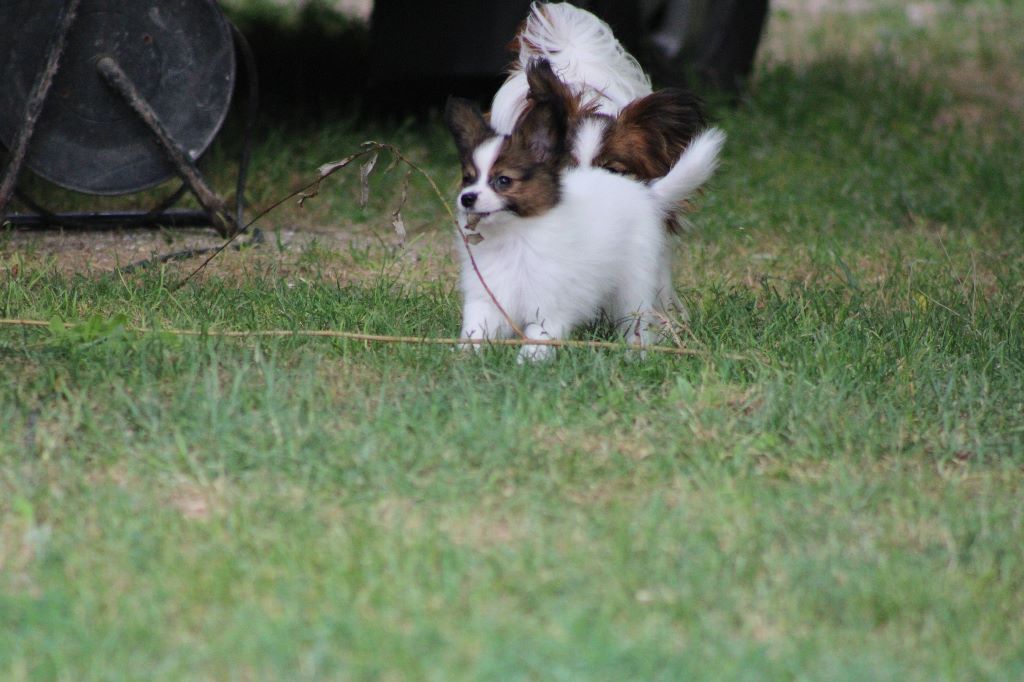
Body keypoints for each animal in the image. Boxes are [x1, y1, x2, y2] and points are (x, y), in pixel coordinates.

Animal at [444, 61, 724, 360]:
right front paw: (463, 359)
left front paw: (528, 362)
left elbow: (538, 340)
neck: (512, 238)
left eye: (503, 181)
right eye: (467, 178)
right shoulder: (487, 297)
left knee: (636, 319)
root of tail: (644, 193)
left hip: (633, 281)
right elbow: (475, 333)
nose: (467, 198)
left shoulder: (550, 304)